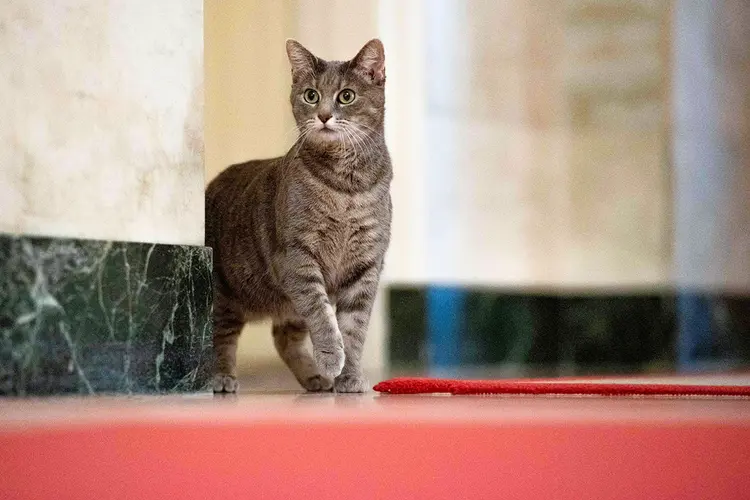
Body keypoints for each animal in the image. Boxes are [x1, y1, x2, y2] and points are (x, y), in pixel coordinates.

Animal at [206, 39, 394, 392]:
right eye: (311, 95)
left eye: (346, 96)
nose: (323, 116)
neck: (346, 187)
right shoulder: (297, 256)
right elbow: (321, 314)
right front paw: (332, 356)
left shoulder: (366, 265)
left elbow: (354, 329)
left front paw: (349, 376)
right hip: (225, 294)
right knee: (219, 338)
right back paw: (222, 376)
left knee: (283, 337)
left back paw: (315, 377)